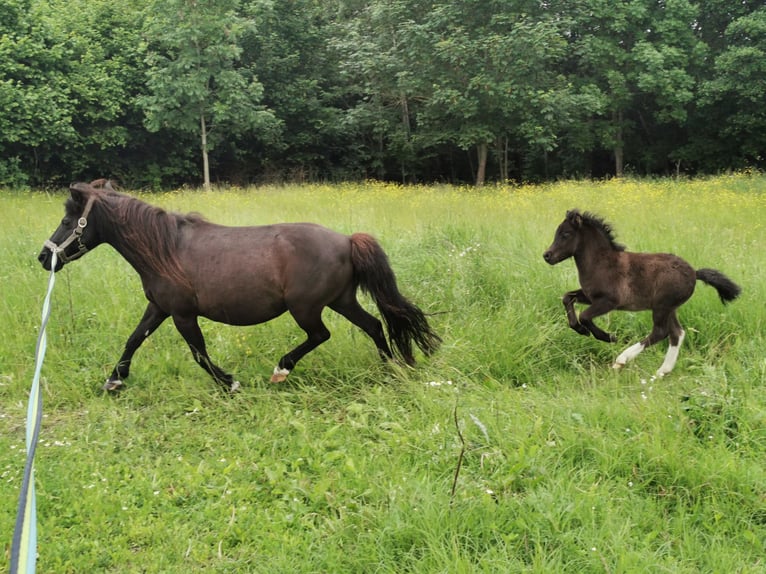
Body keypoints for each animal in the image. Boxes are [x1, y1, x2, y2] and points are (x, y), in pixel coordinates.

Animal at [38, 180, 441, 391]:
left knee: (321, 335)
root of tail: (346, 240)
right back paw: (390, 368)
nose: (44, 258)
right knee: (374, 326)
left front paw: (229, 383)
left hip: (307, 308)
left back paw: (282, 370)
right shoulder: (159, 307)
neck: (166, 248)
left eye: (68, 220)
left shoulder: (182, 314)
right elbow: (134, 339)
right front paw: (115, 380)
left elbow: (199, 353)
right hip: (341, 300)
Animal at [543, 209, 741, 376]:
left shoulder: (609, 301)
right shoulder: (590, 296)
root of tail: (694, 273)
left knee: (661, 332)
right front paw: (581, 330)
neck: (601, 263)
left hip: (662, 306)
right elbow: (567, 298)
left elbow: (584, 316)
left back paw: (622, 360)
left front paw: (608, 337)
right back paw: (662, 371)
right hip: (669, 308)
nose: (547, 255)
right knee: (677, 333)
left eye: (566, 234)